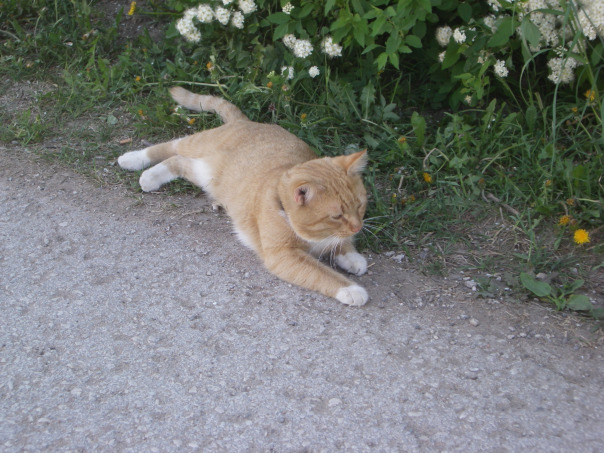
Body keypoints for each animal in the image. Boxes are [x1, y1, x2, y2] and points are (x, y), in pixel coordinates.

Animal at [118, 87, 369, 306]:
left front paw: (351, 256)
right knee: (172, 146)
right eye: (336, 216)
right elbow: (322, 274)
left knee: (178, 161)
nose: (358, 227)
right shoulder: (284, 257)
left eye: (359, 206)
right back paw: (135, 161)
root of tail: (245, 121)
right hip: (197, 147)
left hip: (203, 173)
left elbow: (341, 244)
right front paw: (352, 289)